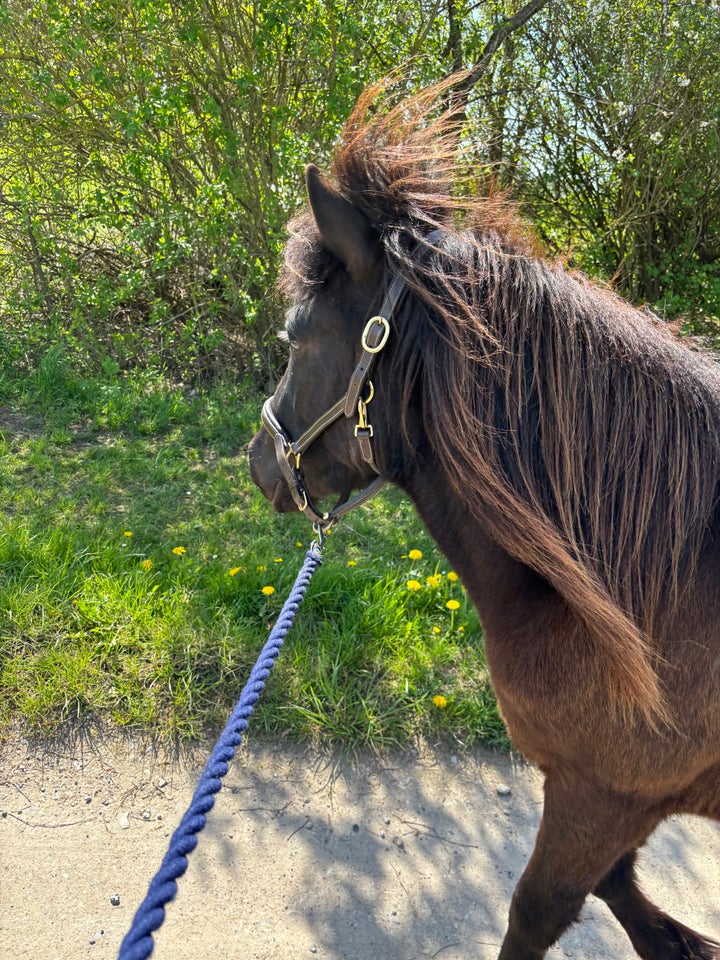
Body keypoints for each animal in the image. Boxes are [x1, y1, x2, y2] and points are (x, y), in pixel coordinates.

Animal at [249, 84, 720, 960]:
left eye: (294, 339)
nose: (260, 461)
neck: (656, 590)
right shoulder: (611, 802)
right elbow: (618, 886)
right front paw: (677, 941)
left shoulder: (599, 797)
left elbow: (539, 909)